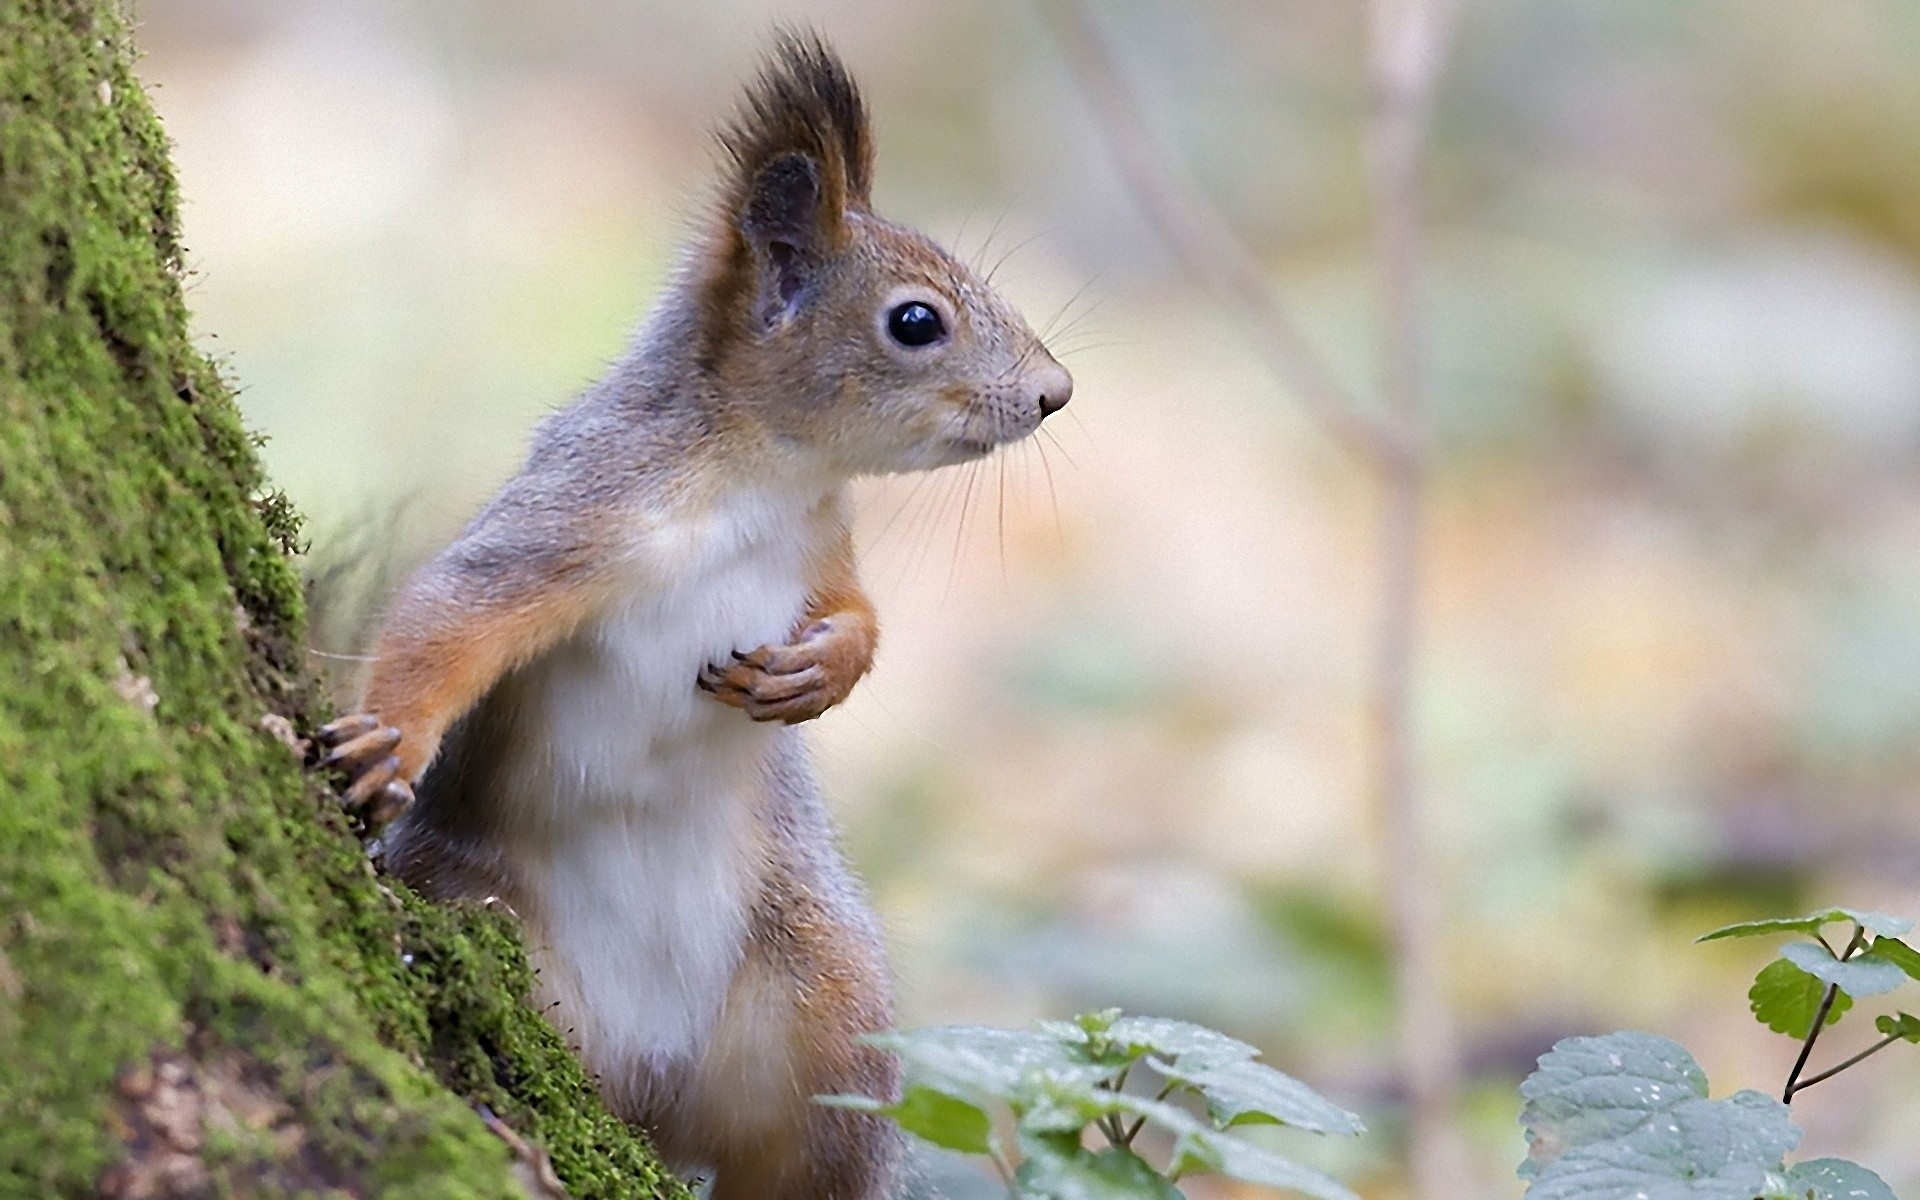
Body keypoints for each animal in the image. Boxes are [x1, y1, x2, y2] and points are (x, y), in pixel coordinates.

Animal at [307, 28, 1075, 1198]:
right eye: (915, 321)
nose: (1054, 392)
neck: (759, 481)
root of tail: (653, 1090)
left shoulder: (823, 544)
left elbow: (858, 614)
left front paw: (818, 673)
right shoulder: (580, 513)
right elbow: (454, 610)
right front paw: (387, 743)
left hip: (825, 1003)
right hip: (487, 916)